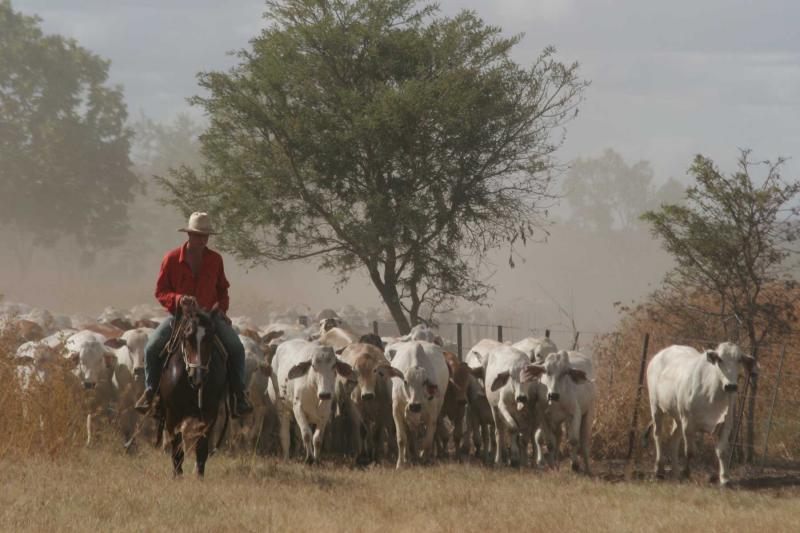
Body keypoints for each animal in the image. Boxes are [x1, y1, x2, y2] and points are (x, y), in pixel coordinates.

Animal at [157, 306, 230, 476]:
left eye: (210, 338)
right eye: (187, 336)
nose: (198, 376)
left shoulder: (210, 414)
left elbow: (202, 448)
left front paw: (198, 475)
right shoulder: (172, 413)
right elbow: (177, 449)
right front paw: (177, 475)